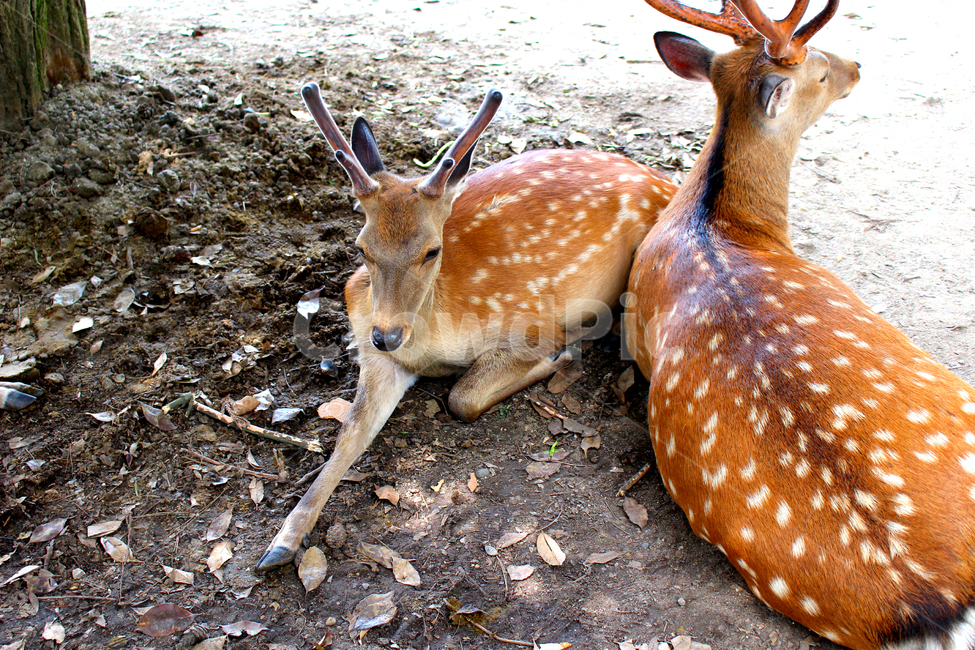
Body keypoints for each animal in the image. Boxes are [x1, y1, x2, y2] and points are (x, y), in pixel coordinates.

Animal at [255, 83, 678, 571]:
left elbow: (462, 397)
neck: (430, 339)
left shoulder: (532, 324)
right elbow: (348, 433)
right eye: (361, 247)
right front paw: (282, 541)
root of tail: (667, 179)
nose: (387, 335)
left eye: (431, 250)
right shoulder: (374, 351)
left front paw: (561, 357)